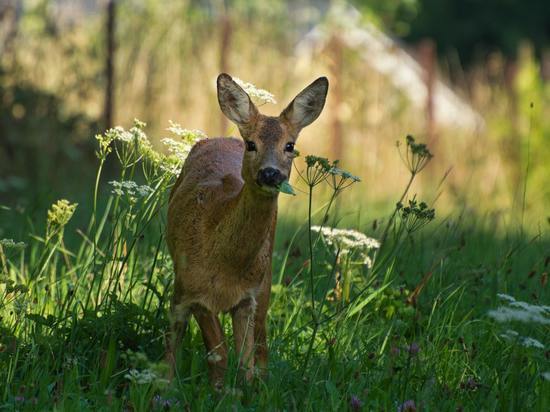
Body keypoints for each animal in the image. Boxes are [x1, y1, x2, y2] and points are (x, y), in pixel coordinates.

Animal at [164, 73, 328, 386]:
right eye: (251, 144)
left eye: (290, 146)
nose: (270, 173)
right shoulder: (196, 290)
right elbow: (219, 356)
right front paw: (217, 391)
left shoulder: (247, 298)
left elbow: (244, 363)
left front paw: (238, 391)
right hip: (181, 280)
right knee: (175, 322)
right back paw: (164, 377)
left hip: (265, 281)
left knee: (263, 339)